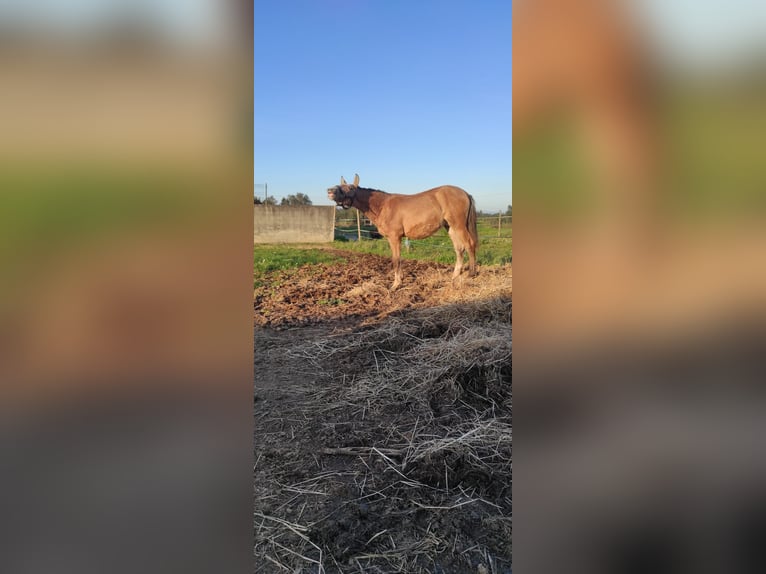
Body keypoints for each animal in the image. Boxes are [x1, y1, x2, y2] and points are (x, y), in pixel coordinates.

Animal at [328, 174, 476, 292]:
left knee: (469, 244)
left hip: (459, 226)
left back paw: (472, 274)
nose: (330, 191)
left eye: (350, 188)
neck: (383, 206)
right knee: (459, 249)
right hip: (450, 227)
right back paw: (454, 277)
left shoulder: (394, 237)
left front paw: (395, 285)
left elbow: (396, 260)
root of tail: (465, 193)